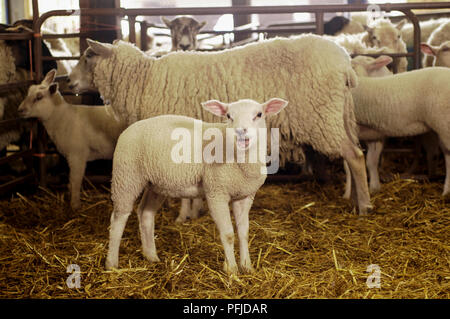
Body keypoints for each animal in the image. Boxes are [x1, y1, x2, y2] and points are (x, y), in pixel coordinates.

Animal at [17, 70, 126, 210]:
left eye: (39, 97)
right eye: (28, 92)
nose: (20, 110)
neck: (63, 117)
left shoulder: (77, 155)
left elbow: (75, 180)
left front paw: (75, 205)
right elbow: (71, 180)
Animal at [68, 37, 374, 218]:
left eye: (88, 57)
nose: (68, 83)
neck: (143, 81)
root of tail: (345, 63)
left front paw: (184, 215)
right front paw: (194, 210)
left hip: (321, 116)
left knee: (355, 157)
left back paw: (365, 206)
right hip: (337, 116)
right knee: (353, 152)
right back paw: (354, 198)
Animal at [105, 98, 286, 276]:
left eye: (259, 114)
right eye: (228, 116)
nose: (241, 131)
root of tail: (129, 129)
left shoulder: (244, 196)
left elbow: (243, 233)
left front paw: (247, 267)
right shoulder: (216, 192)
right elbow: (228, 234)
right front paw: (232, 270)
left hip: (156, 184)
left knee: (145, 213)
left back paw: (151, 256)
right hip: (126, 176)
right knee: (118, 218)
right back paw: (112, 264)